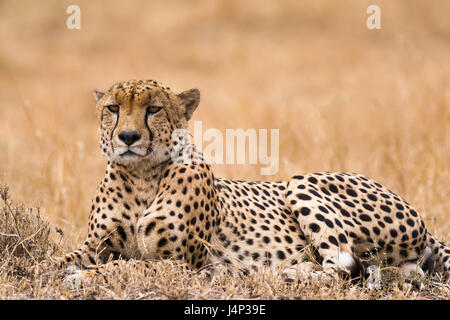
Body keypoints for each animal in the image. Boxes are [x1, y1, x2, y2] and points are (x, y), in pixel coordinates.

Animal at [51, 80, 448, 284]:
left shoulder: (185, 263)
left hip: (301, 182)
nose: (129, 137)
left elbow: (131, 265)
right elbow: (61, 257)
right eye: (113, 108)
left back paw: (289, 273)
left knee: (343, 268)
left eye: (154, 109)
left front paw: (83, 276)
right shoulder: (96, 245)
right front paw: (58, 267)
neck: (141, 176)